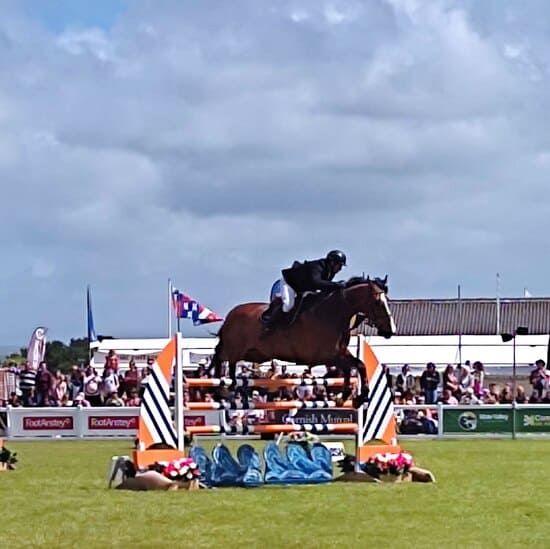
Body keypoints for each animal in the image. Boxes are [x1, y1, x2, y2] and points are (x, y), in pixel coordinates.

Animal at [211, 274, 396, 402]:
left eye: (388, 300)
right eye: (378, 302)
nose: (390, 331)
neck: (333, 314)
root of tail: (231, 315)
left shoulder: (340, 353)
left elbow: (359, 365)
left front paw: (353, 396)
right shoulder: (326, 356)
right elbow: (351, 366)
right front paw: (355, 395)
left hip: (253, 353)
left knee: (222, 359)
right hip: (235, 348)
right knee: (225, 360)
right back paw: (225, 389)